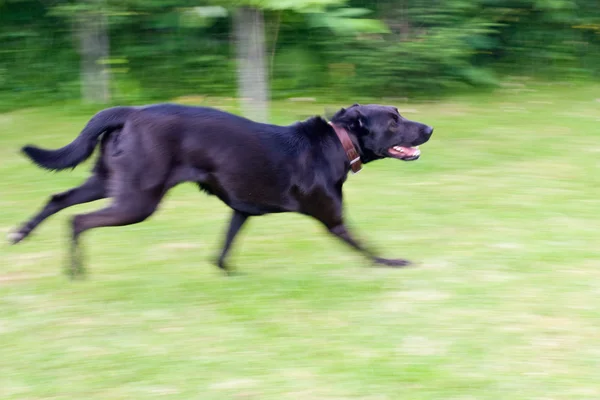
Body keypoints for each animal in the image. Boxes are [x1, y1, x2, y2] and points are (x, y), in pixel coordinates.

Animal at [8, 104, 432, 276]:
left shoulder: (240, 210)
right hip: (137, 200)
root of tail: (129, 112)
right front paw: (393, 262)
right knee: (78, 220)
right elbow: (366, 245)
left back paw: (20, 233)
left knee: (57, 199)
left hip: (109, 183)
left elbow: (224, 248)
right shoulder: (333, 218)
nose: (429, 128)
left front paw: (226, 273)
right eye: (393, 121)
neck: (338, 142)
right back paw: (76, 271)